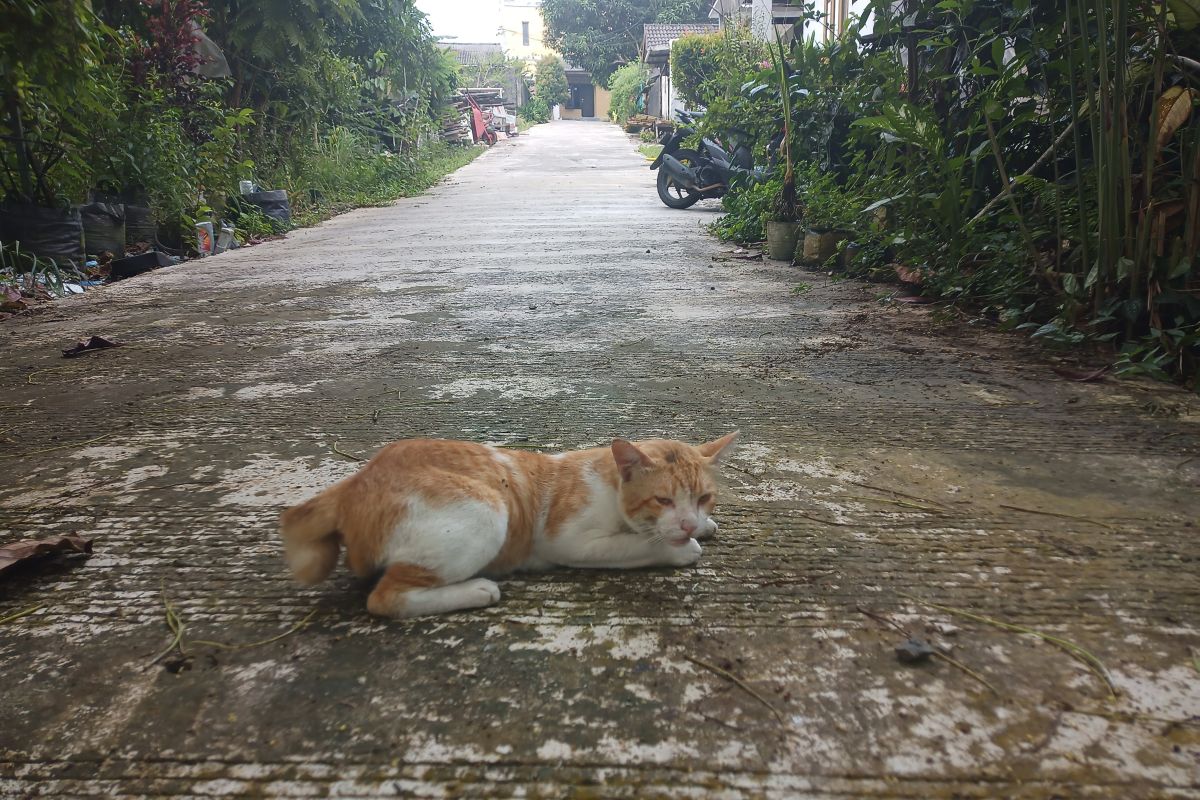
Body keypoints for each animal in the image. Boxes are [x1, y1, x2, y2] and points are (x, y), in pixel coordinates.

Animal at [279, 434, 734, 618]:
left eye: (703, 498)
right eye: (663, 500)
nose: (688, 522)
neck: (607, 479)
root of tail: (351, 484)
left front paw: (703, 527)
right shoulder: (566, 542)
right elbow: (641, 543)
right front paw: (680, 546)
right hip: (487, 510)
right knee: (385, 597)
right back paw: (476, 590)